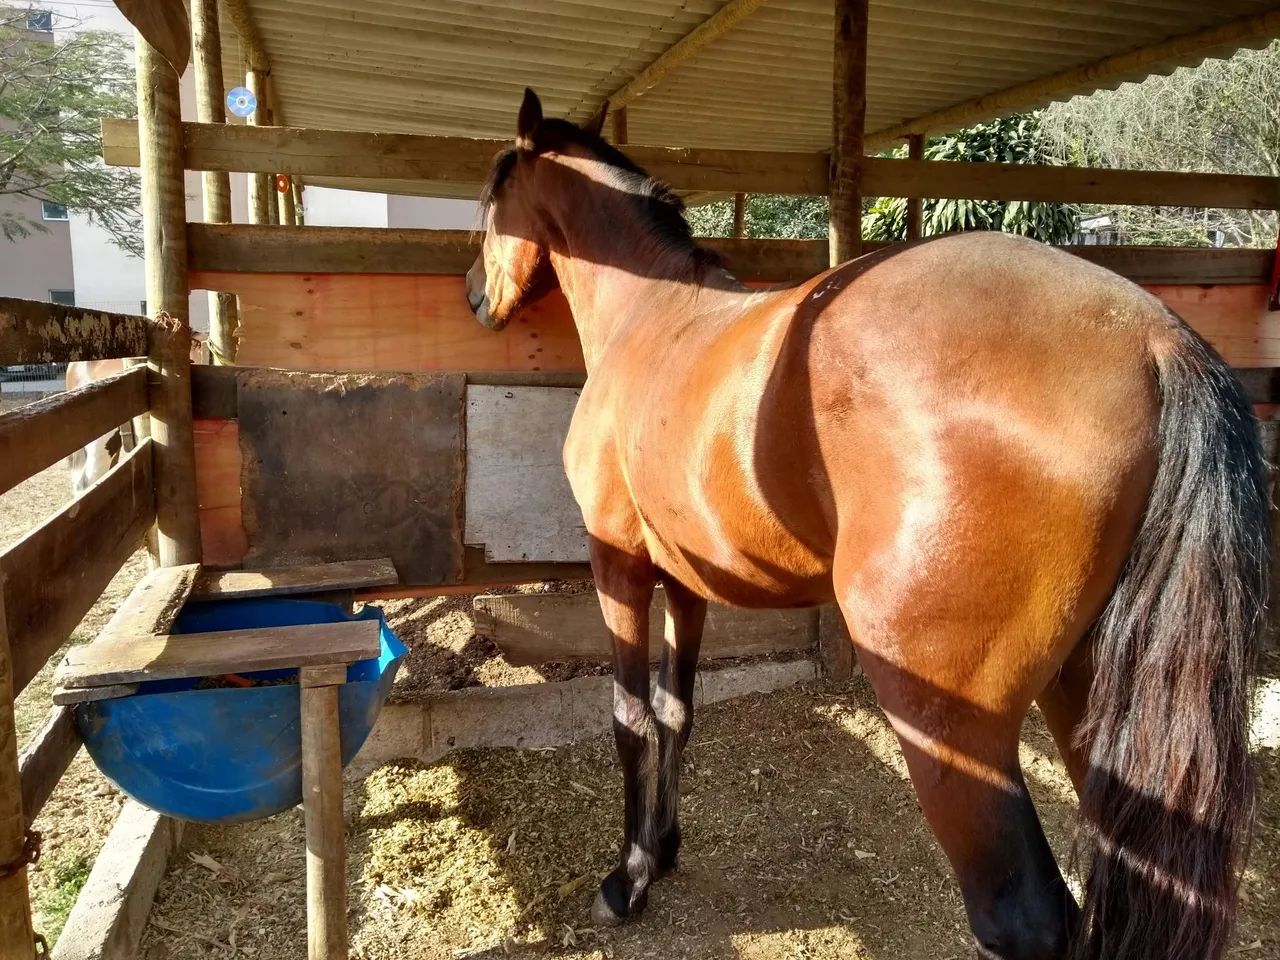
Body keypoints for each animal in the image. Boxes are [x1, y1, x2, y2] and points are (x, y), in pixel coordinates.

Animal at [465, 89, 1268, 960]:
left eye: (491, 199)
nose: (475, 296)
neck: (653, 315)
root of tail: (1154, 340)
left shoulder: (619, 567)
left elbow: (629, 719)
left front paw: (629, 878)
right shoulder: (686, 580)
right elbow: (677, 712)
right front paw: (666, 848)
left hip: (949, 722)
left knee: (1018, 914)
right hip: (1093, 702)